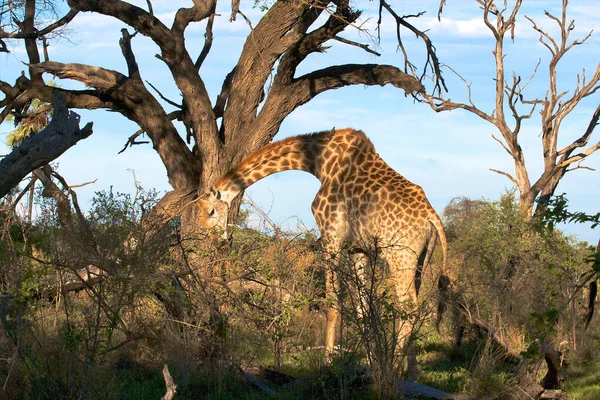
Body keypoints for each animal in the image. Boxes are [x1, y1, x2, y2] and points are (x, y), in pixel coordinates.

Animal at [196, 128, 446, 378]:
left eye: (211, 212)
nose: (217, 241)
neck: (319, 161)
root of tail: (432, 217)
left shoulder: (331, 235)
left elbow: (333, 302)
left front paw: (328, 363)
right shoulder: (357, 247)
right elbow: (363, 308)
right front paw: (370, 363)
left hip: (399, 255)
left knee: (409, 308)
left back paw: (392, 370)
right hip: (420, 258)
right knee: (412, 307)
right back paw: (411, 374)